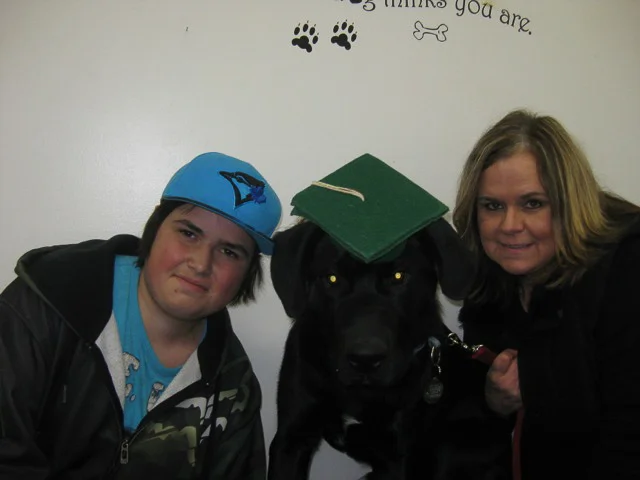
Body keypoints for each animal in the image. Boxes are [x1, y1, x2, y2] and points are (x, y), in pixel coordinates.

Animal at [267, 219, 511, 480]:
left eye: (398, 276)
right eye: (332, 278)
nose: (365, 359)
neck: (360, 392)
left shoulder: (397, 456)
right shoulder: (291, 438)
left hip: (456, 444)